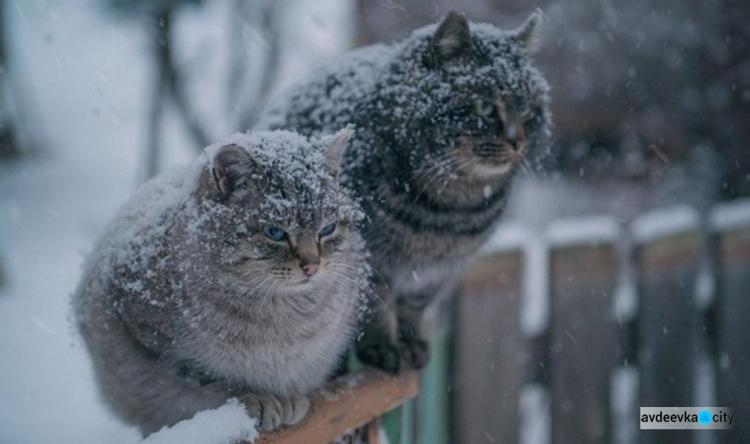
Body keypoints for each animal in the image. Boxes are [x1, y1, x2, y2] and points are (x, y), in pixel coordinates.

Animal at [73, 128, 370, 434]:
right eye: (275, 232)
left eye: (327, 229)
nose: (312, 266)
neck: (282, 314)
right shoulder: (156, 342)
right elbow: (211, 379)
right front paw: (260, 398)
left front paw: (288, 398)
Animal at [258, 10, 552, 372]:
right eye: (485, 107)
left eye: (526, 110)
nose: (518, 141)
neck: (452, 210)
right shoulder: (371, 260)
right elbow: (376, 307)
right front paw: (383, 348)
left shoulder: (437, 272)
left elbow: (414, 308)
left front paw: (411, 344)